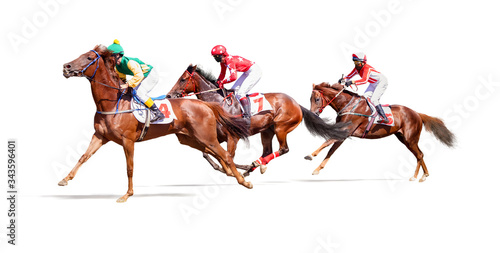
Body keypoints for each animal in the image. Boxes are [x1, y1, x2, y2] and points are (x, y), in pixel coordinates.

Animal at [60, 45, 252, 203]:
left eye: (88, 58)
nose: (66, 67)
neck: (113, 103)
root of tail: (206, 104)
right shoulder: (100, 135)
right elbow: (84, 156)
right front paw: (65, 179)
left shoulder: (127, 140)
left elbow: (129, 167)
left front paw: (127, 194)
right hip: (190, 139)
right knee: (214, 154)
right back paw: (235, 172)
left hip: (206, 136)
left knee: (225, 154)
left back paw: (244, 181)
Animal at [166, 65, 350, 176]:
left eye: (183, 79)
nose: (169, 95)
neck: (218, 104)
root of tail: (297, 104)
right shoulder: (215, 137)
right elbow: (208, 153)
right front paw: (227, 168)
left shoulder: (233, 137)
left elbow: (228, 156)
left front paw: (233, 170)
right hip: (266, 131)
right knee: (267, 151)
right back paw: (255, 165)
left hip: (281, 127)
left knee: (284, 149)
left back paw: (254, 164)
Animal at [306, 82, 456, 181]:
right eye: (310, 99)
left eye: (317, 99)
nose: (312, 114)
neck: (348, 105)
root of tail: (417, 114)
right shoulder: (342, 134)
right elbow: (331, 150)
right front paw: (317, 169)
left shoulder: (346, 131)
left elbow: (327, 143)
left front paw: (310, 155)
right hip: (404, 139)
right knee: (420, 154)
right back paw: (424, 175)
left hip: (410, 139)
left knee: (419, 154)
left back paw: (414, 177)